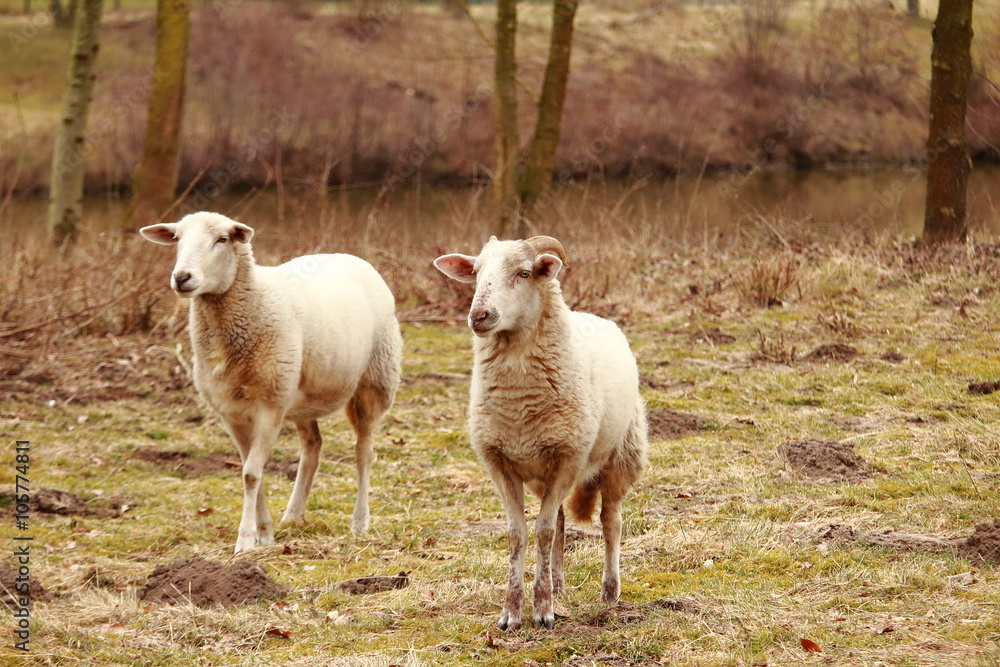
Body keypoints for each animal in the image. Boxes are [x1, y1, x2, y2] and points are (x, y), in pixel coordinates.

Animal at [140, 213, 402, 552]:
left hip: (374, 381)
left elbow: (251, 474)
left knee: (364, 452)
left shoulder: (268, 407)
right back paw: (294, 514)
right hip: (299, 392)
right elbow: (252, 471)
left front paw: (245, 540)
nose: (182, 277)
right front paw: (264, 533)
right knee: (313, 446)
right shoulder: (232, 412)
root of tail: (352, 256)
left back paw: (359, 522)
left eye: (222, 239)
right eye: (177, 239)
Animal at [436, 236, 648, 632]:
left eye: (523, 273)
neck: (520, 403)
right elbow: (519, 533)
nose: (479, 316)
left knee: (610, 520)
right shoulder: (499, 462)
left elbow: (544, 531)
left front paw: (543, 611)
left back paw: (610, 591)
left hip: (621, 455)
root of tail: (593, 315)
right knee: (562, 521)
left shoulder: (568, 458)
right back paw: (558, 583)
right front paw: (512, 611)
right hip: (543, 474)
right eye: (476, 272)